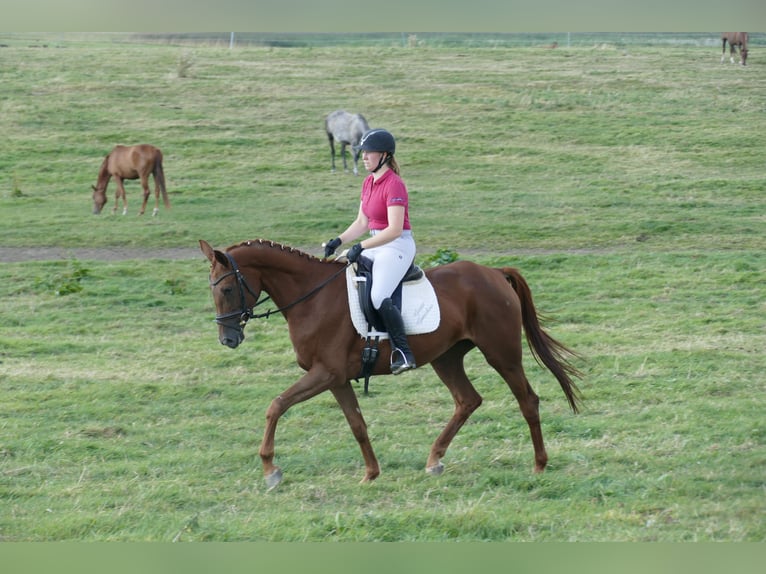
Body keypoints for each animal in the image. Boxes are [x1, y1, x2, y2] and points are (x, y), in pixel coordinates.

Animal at [198, 238, 584, 490]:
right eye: (211, 289)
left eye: (227, 290)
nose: (227, 340)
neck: (312, 297)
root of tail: (492, 272)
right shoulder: (336, 379)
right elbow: (357, 424)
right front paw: (370, 473)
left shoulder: (325, 374)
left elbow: (276, 405)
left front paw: (270, 469)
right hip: (446, 358)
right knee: (467, 400)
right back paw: (434, 459)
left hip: (501, 354)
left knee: (527, 400)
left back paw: (539, 464)